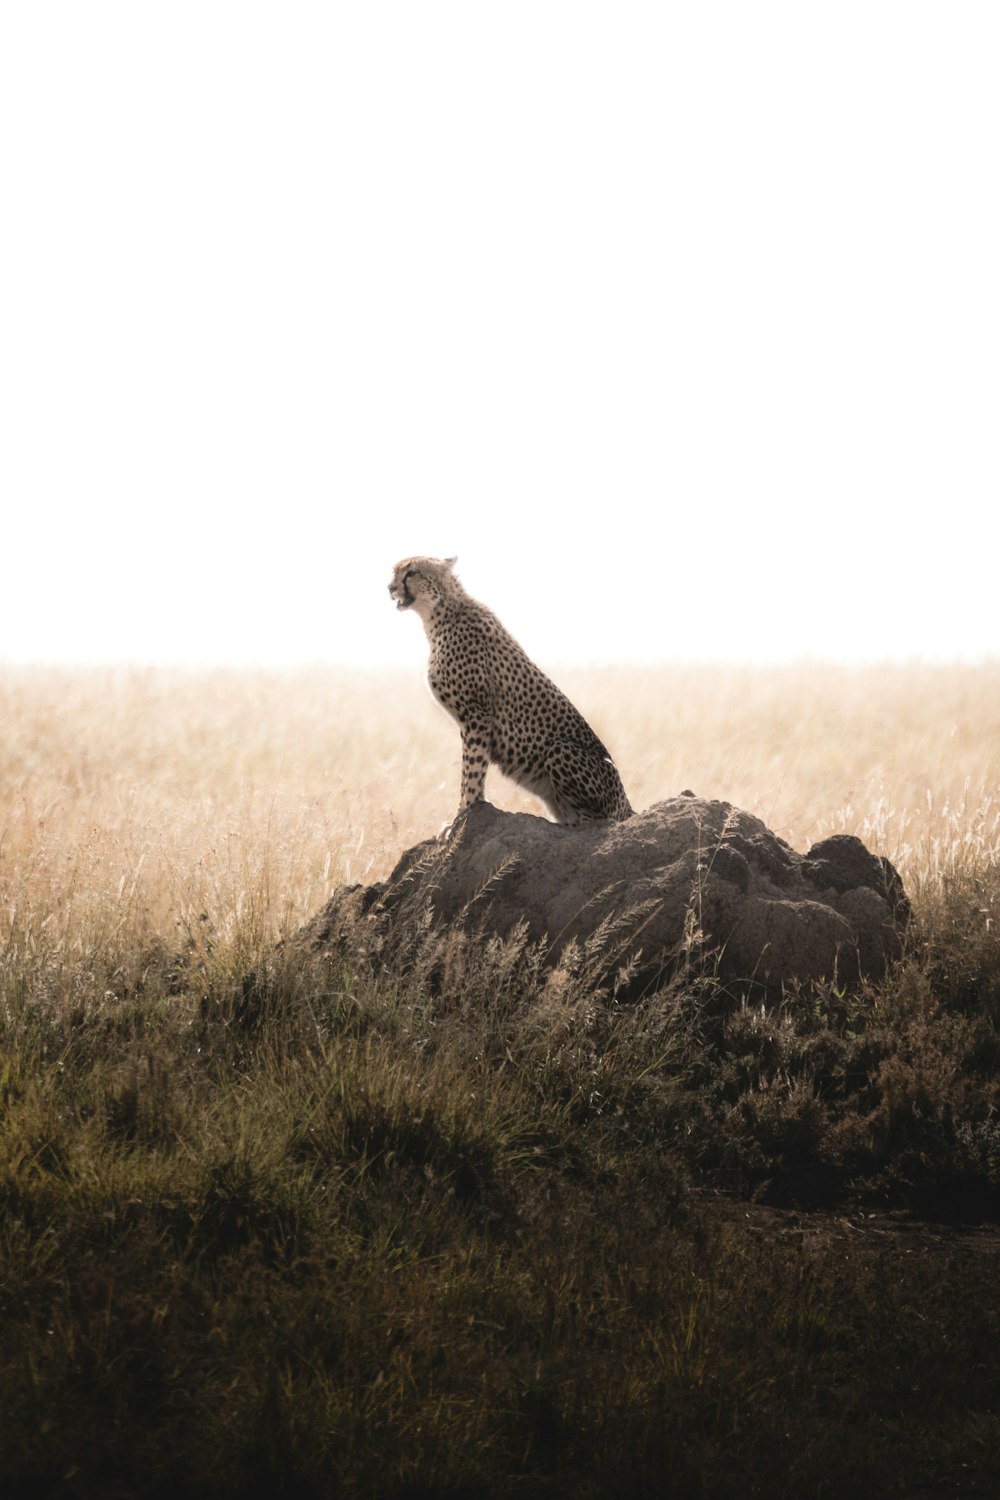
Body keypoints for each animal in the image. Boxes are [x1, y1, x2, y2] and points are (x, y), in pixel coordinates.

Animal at [386, 558, 629, 828]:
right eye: (395, 572)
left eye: (412, 573)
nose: (390, 588)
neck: (439, 615)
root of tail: (627, 806)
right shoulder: (476, 719)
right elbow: (474, 769)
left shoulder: (477, 714)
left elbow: (472, 769)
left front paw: (463, 814)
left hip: (560, 750)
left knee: (600, 820)